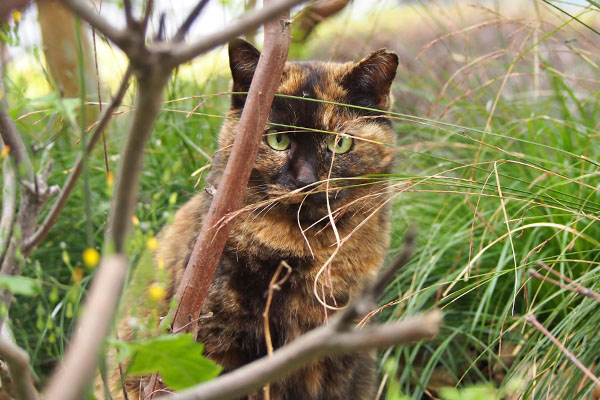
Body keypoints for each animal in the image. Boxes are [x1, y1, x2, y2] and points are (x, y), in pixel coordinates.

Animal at [98, 38, 398, 400]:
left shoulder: (339, 351)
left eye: (339, 143)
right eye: (277, 140)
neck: (306, 248)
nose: (306, 180)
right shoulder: (218, 345)